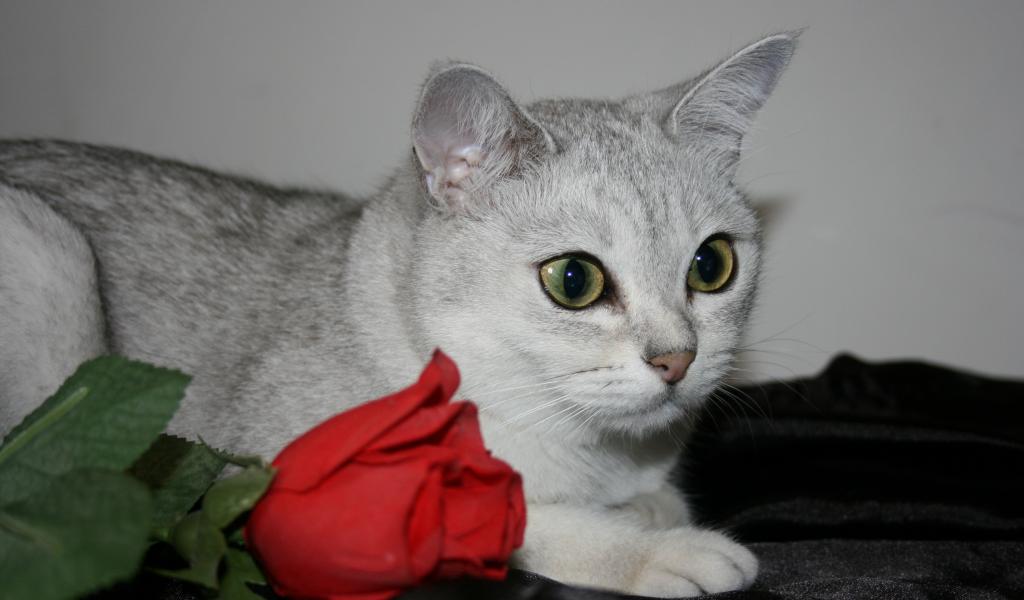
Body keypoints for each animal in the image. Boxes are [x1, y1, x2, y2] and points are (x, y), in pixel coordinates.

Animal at [0, 31, 797, 597]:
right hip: (47, 253)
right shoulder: (284, 492)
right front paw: (663, 549)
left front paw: (653, 509)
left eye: (712, 266)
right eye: (574, 280)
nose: (678, 358)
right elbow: (504, 515)